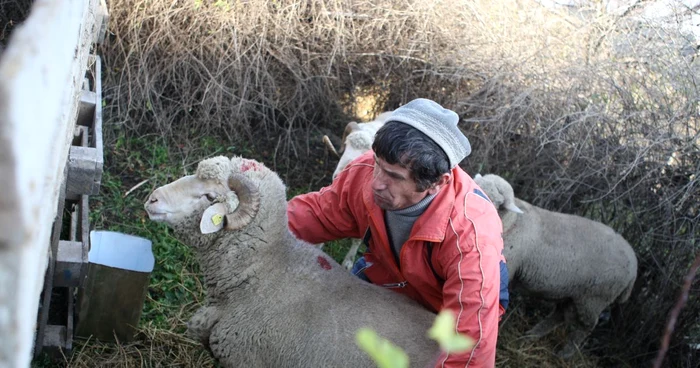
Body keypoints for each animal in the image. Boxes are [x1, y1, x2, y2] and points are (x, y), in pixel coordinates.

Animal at [474, 173, 636, 360]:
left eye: (495, 203)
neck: (512, 222)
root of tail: (634, 265)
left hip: (594, 298)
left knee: (586, 326)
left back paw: (564, 354)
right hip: (572, 292)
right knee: (559, 315)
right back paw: (531, 336)